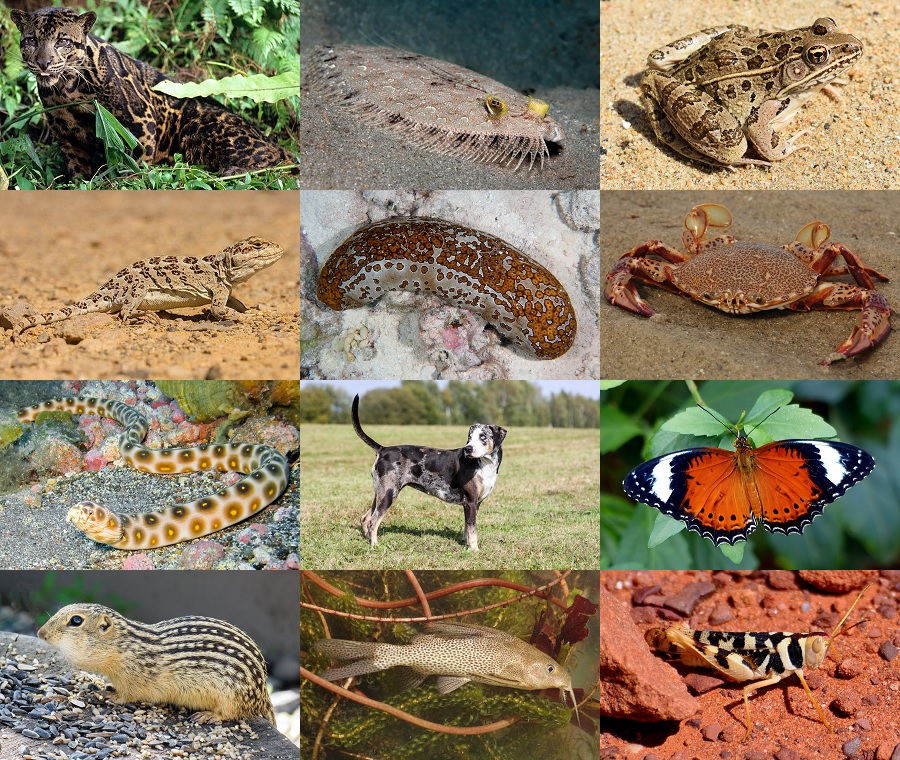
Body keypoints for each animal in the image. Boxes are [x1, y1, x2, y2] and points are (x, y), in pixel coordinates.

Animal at [12, 6, 296, 178]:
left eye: (62, 41)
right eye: (31, 40)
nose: (43, 63)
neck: (65, 90)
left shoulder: (140, 121)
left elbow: (134, 161)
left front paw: (122, 180)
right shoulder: (68, 137)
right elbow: (78, 171)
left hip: (201, 126)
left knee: (274, 160)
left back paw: (231, 170)